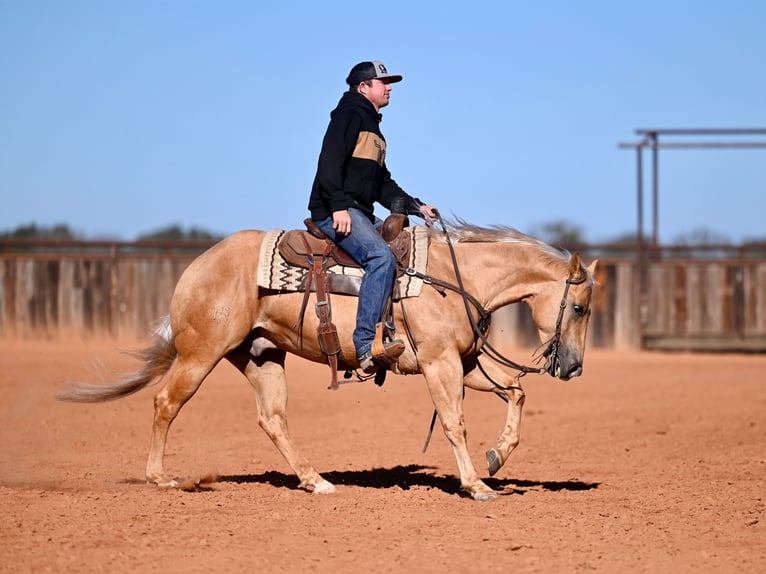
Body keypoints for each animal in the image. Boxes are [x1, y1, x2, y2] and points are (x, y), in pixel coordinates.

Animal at [58, 220, 597, 501]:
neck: (453, 276)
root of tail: (196, 267)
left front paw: (496, 457)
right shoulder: (440, 363)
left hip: (261, 356)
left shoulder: (464, 363)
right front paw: (476, 485)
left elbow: (516, 391)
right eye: (578, 307)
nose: (573, 368)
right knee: (166, 402)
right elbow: (454, 422)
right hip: (201, 354)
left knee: (272, 418)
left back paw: (315, 480)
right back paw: (160, 477)